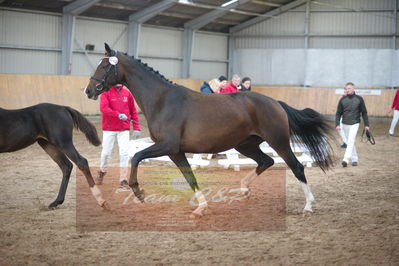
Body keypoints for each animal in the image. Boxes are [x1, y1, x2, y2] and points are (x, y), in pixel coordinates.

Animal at [84, 43, 334, 217]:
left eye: (104, 65)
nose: (89, 91)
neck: (163, 100)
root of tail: (275, 103)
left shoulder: (167, 146)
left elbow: (136, 156)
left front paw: (138, 191)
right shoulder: (176, 152)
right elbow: (190, 178)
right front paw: (201, 208)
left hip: (278, 141)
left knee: (296, 167)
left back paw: (308, 206)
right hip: (245, 145)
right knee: (266, 161)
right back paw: (243, 189)